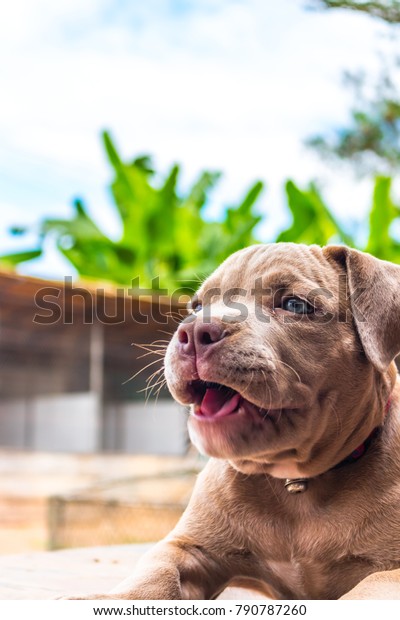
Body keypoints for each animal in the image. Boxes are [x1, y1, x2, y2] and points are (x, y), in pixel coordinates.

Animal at [79, 243, 400, 600]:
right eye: (197, 306)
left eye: (295, 305)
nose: (194, 330)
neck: (296, 483)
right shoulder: (188, 547)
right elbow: (155, 572)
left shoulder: (391, 573)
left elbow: (367, 587)